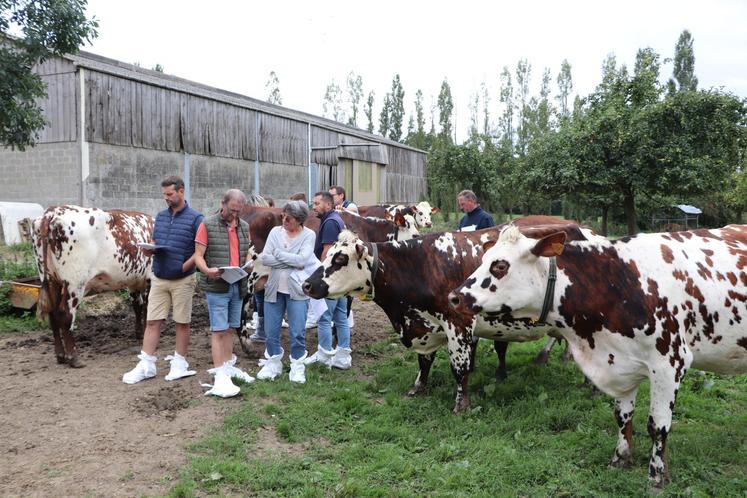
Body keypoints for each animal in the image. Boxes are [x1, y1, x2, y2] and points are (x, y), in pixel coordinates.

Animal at [33, 204, 153, 368]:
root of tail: (52, 212)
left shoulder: (134, 281)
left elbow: (137, 306)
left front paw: (140, 333)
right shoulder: (150, 278)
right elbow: (148, 309)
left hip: (51, 279)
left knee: (52, 314)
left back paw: (60, 355)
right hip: (75, 282)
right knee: (65, 313)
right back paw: (73, 357)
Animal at [302, 216, 592, 410]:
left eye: (340, 259)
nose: (307, 285)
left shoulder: (458, 323)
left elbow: (459, 368)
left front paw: (461, 405)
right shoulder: (423, 324)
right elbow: (424, 361)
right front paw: (418, 387)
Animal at [450, 225, 747, 486]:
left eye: (500, 266)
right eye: (483, 259)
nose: (454, 297)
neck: (618, 283)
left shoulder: (670, 363)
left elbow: (658, 426)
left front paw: (657, 475)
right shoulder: (619, 362)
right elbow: (623, 417)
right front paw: (620, 459)